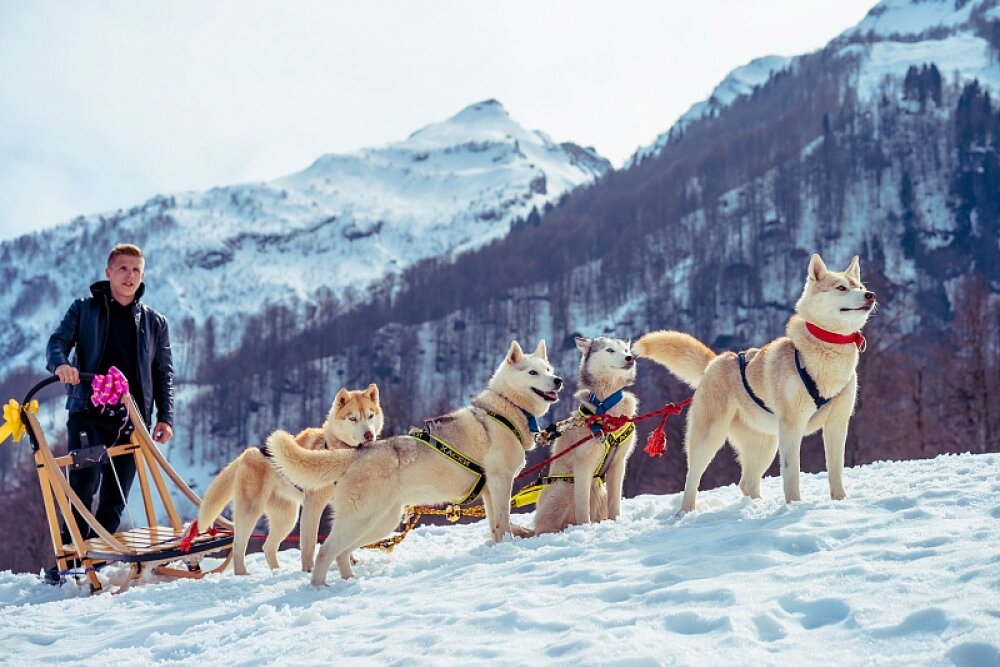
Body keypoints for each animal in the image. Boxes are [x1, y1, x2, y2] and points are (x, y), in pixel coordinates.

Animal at [198, 384, 382, 576]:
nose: (369, 435)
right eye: (353, 418)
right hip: (250, 512)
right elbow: (309, 542)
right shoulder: (313, 505)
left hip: (286, 518)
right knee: (238, 545)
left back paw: (277, 571)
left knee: (268, 547)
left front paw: (349, 559)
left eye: (370, 415)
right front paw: (308, 569)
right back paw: (243, 573)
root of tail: (248, 453)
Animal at [266, 342, 564, 580]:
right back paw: (320, 588)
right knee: (326, 551)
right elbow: (503, 522)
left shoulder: (489, 489)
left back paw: (350, 582)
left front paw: (500, 546)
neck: (504, 411)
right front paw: (508, 546)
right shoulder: (502, 482)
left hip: (380, 523)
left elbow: (495, 525)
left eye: (548, 368)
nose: (558, 380)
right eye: (533, 372)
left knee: (342, 552)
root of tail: (357, 451)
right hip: (362, 519)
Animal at [536, 336, 636, 536]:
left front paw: (616, 522)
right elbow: (582, 508)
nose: (630, 358)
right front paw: (585, 527)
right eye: (610, 350)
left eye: (626, 349)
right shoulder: (583, 466)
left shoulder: (619, 463)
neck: (606, 409)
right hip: (563, 488)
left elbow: (615, 503)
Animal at [636, 254, 880, 512]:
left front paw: (841, 500)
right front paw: (794, 505)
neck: (825, 354)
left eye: (859, 286)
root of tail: (714, 362)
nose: (870, 295)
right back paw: (686, 511)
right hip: (710, 437)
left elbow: (835, 469)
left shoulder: (837, 423)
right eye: (841, 288)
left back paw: (756, 506)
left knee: (747, 483)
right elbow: (792, 472)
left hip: (765, 444)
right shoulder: (792, 425)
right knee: (692, 477)